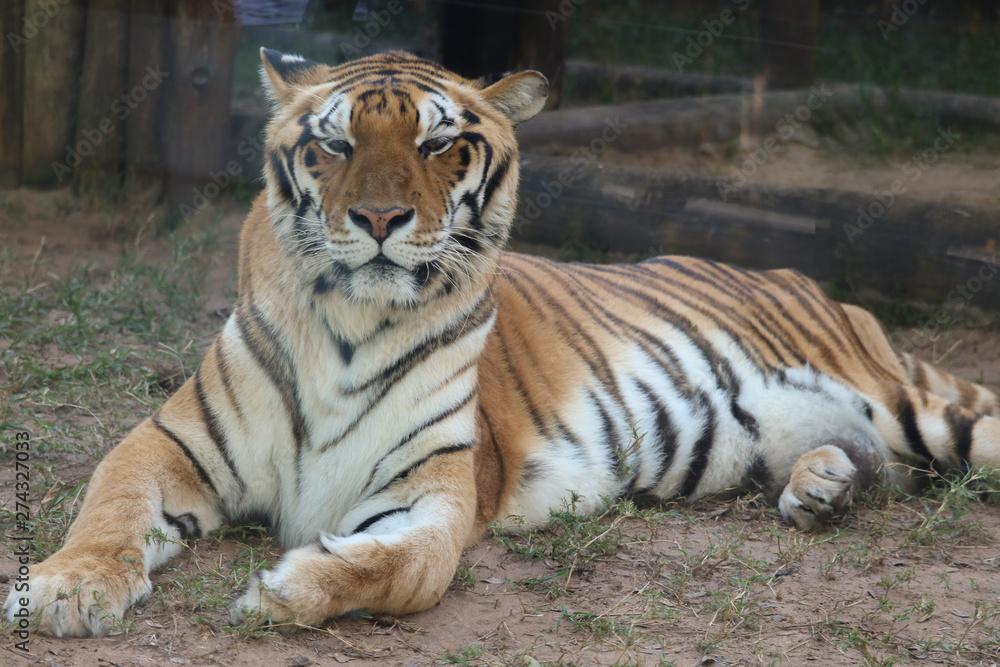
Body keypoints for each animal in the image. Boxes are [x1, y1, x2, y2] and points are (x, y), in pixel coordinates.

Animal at [5, 48, 1000, 638]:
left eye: (437, 145)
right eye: (334, 146)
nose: (378, 219)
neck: (349, 326)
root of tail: (800, 276)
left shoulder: (436, 487)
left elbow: (406, 567)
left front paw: (287, 586)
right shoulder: (168, 442)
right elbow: (107, 509)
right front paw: (66, 590)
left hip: (927, 408)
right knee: (864, 463)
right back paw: (820, 488)